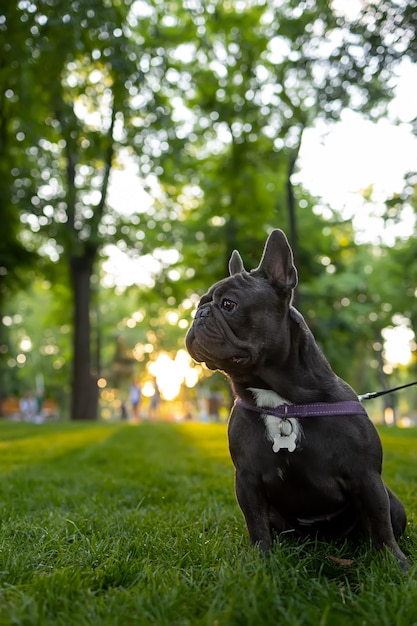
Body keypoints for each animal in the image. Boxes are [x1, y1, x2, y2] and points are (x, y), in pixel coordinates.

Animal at [185, 228, 406, 564]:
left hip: (396, 504)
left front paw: (396, 564)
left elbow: (380, 521)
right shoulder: (247, 480)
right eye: (200, 303)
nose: (199, 314)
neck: (282, 402)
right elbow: (255, 523)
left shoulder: (367, 476)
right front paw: (259, 561)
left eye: (228, 304)